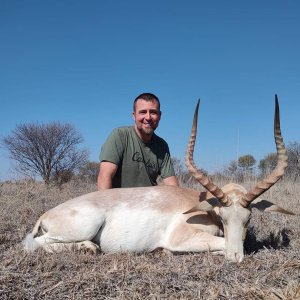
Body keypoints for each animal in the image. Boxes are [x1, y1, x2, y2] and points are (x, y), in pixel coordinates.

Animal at [23, 95, 292, 262]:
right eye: (223, 217)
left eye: (248, 218)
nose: (235, 259)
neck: (201, 206)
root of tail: (46, 214)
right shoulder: (181, 238)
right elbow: (221, 243)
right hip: (84, 226)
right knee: (31, 244)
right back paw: (89, 247)